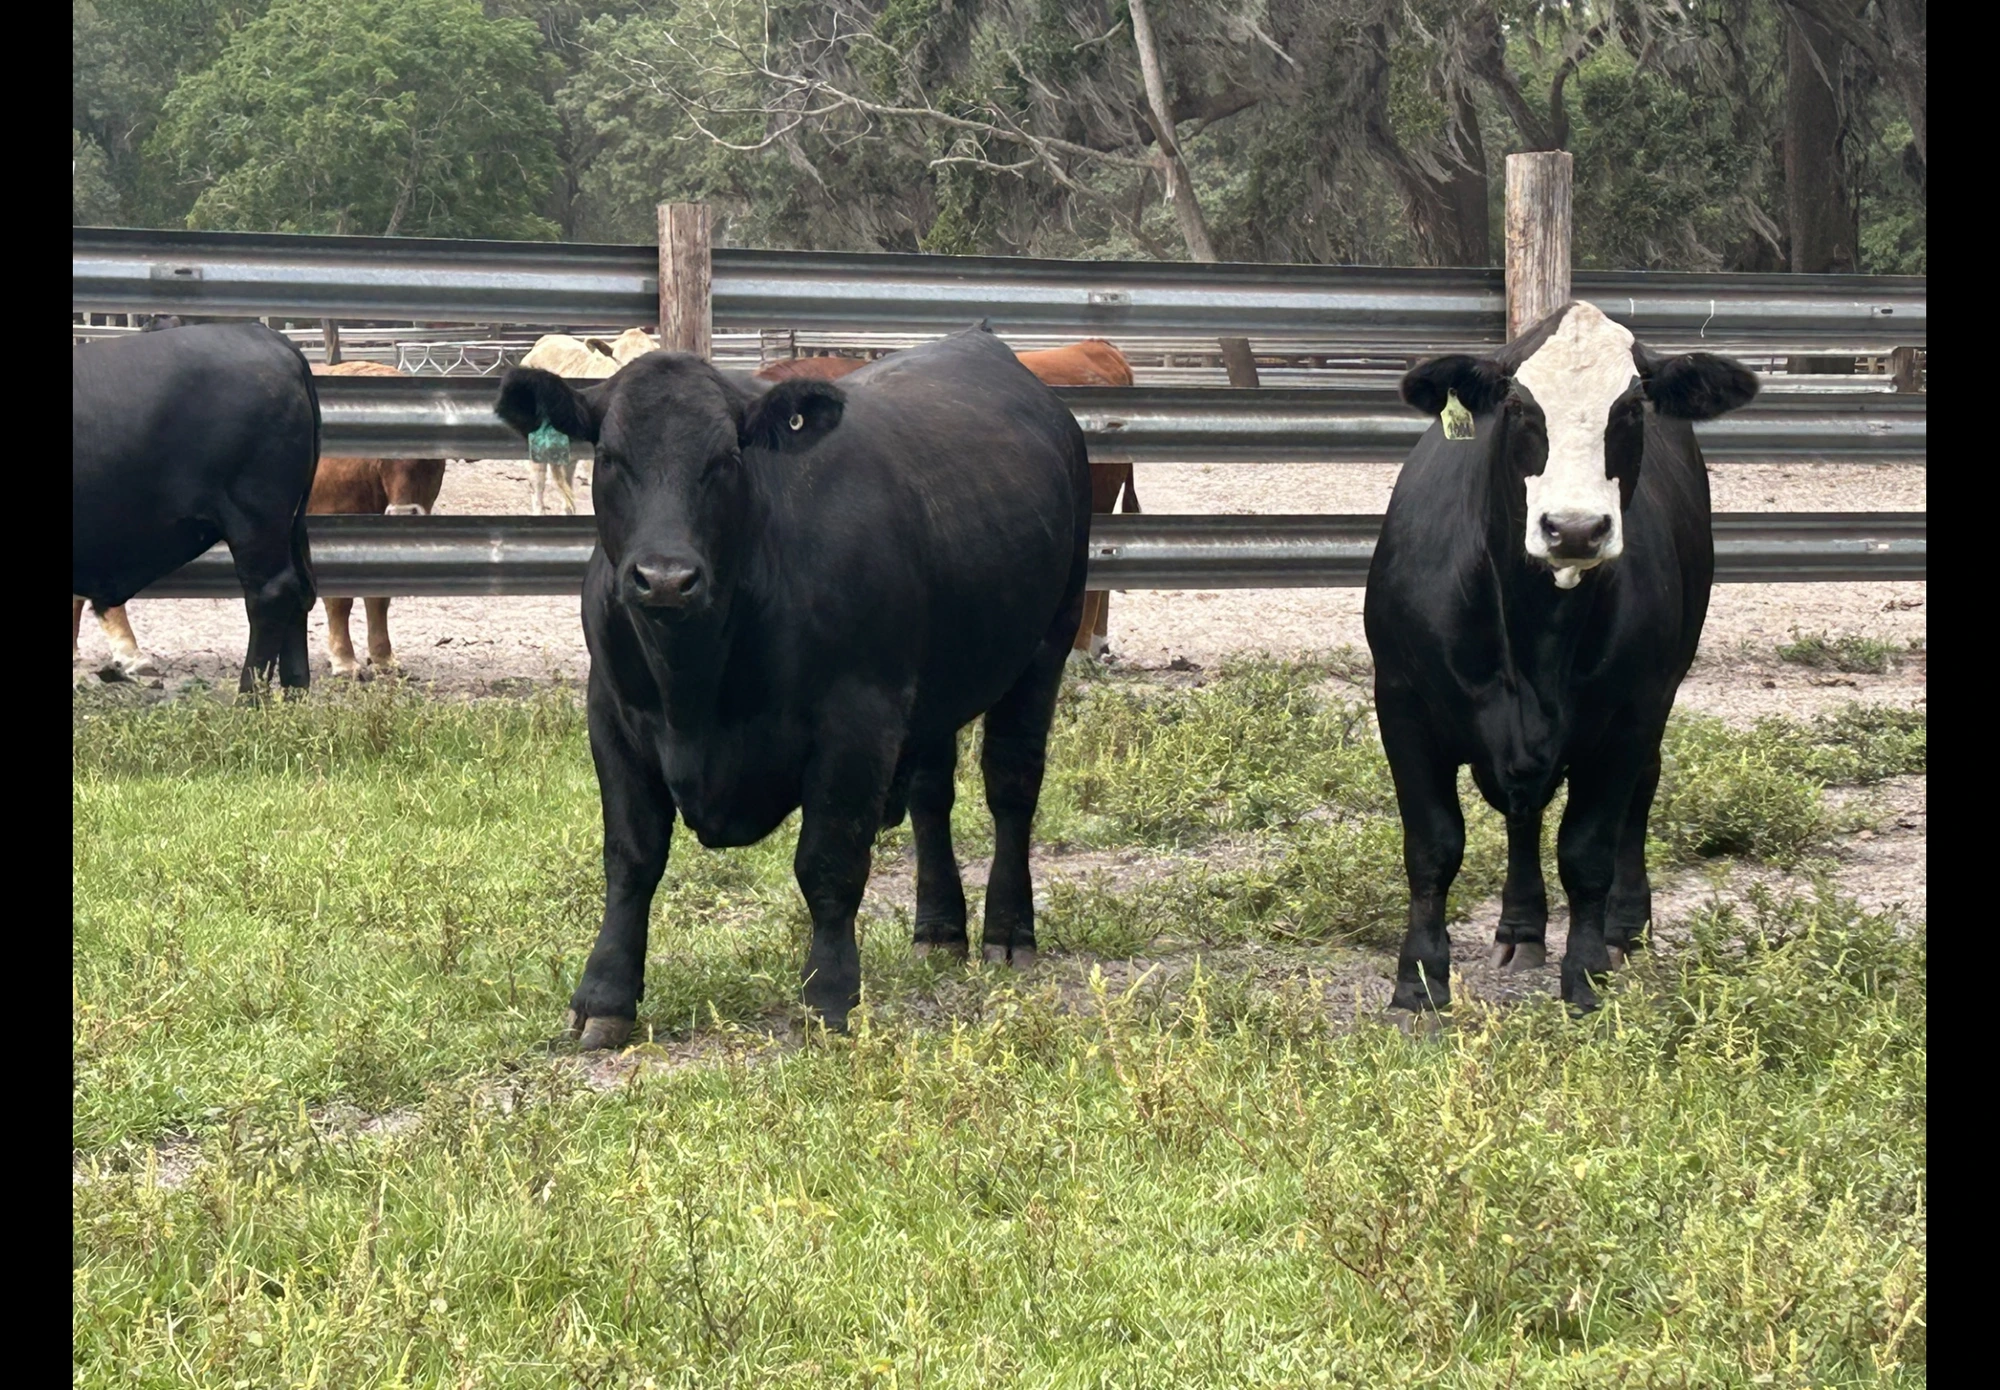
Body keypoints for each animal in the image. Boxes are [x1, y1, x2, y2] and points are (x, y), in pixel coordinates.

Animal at [74, 322, 320, 694]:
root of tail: (266, 335)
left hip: (255, 515)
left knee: (273, 593)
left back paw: (249, 697)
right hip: (289, 525)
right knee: (299, 594)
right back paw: (292, 694)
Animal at [308, 361, 448, 677]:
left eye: (432, 461)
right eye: (383, 458)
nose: (403, 513)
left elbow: (379, 598)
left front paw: (383, 657)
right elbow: (340, 601)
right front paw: (344, 660)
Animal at [493, 325, 1090, 1043]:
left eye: (727, 458)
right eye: (608, 456)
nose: (664, 578)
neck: (694, 683)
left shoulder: (857, 720)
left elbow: (829, 862)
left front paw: (829, 993)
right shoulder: (611, 714)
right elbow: (631, 857)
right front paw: (604, 995)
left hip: (1047, 643)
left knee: (1011, 788)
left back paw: (1007, 932)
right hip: (933, 691)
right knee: (931, 797)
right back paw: (939, 930)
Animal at [1364, 300, 1759, 1015]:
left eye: (1630, 408)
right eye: (1520, 406)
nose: (1574, 529)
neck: (1534, 636)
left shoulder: (1632, 713)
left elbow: (1588, 850)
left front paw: (1586, 976)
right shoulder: (1401, 699)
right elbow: (1433, 845)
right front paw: (1420, 984)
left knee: (1639, 793)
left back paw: (1625, 927)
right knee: (1523, 814)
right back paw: (1520, 928)